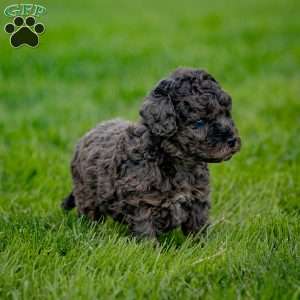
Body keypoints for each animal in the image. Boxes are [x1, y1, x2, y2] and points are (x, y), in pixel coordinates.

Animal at [61, 67, 241, 239]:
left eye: (226, 114)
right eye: (199, 122)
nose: (232, 140)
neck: (177, 160)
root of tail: (87, 135)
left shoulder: (198, 199)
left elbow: (198, 228)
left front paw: (202, 246)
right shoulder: (142, 203)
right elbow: (146, 232)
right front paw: (151, 250)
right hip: (86, 193)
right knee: (89, 215)